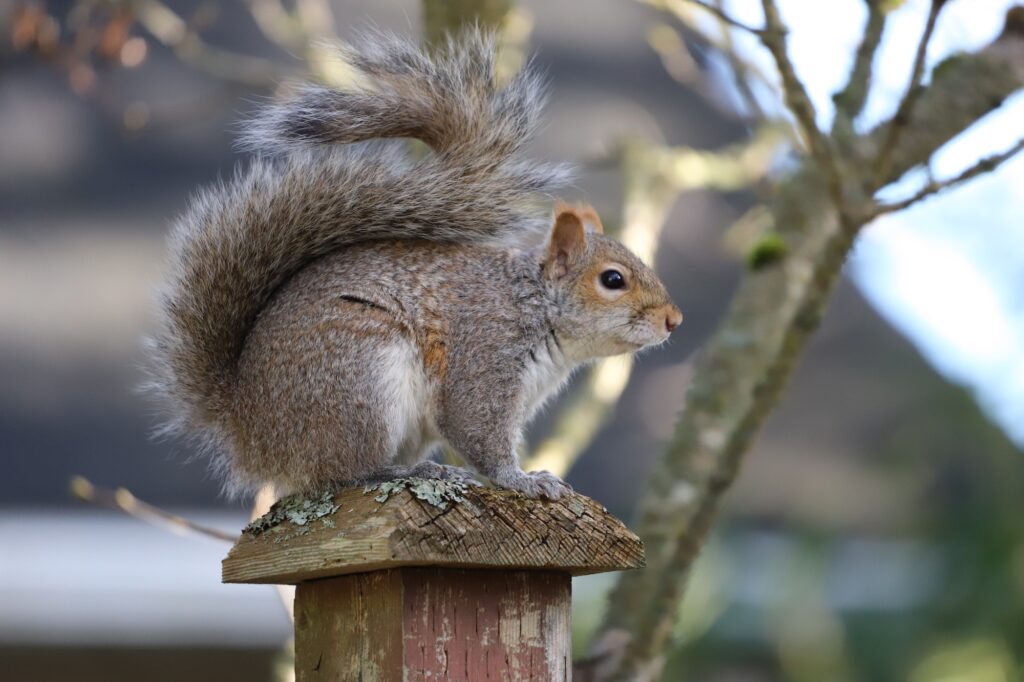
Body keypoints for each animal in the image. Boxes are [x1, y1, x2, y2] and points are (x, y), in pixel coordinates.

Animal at [147, 30, 682, 501]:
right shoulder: (484, 355)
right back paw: (409, 471)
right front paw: (524, 481)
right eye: (613, 280)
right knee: (346, 472)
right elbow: (477, 432)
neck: (533, 305)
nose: (673, 320)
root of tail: (250, 431)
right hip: (359, 380)